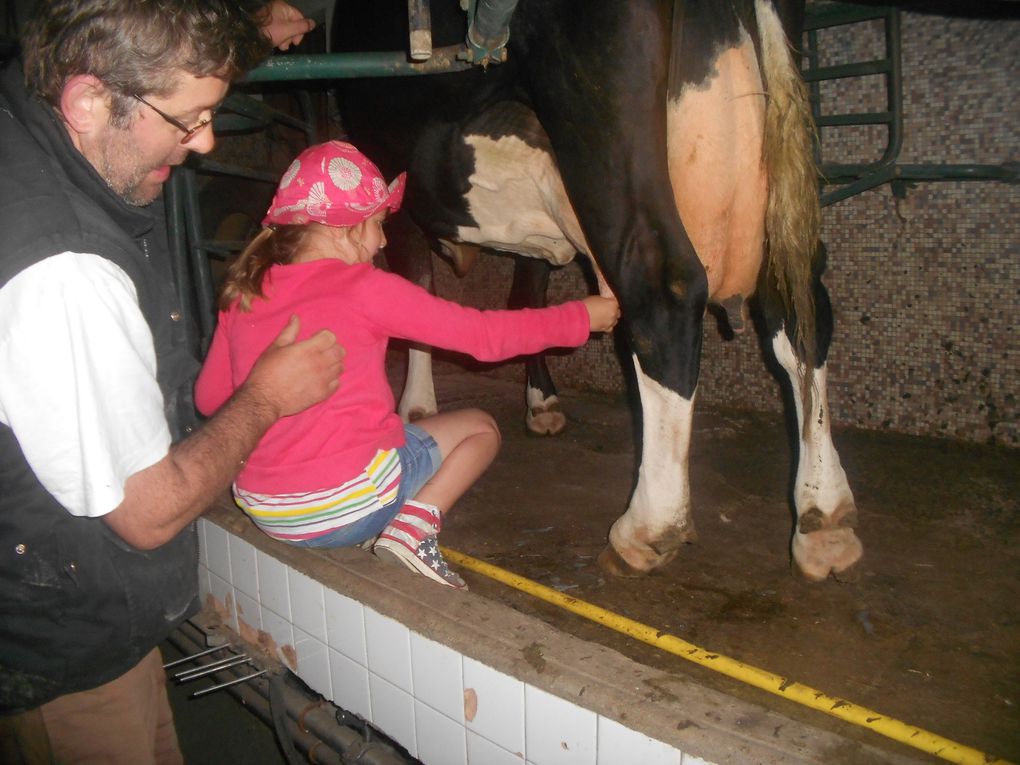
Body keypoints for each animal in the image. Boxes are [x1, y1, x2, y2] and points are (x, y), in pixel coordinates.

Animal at [332, 0, 860, 579]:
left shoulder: (394, 176)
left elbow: (415, 290)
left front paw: (416, 408)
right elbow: (526, 300)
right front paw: (540, 401)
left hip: (600, 124)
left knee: (662, 291)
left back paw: (649, 527)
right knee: (800, 304)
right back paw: (824, 518)